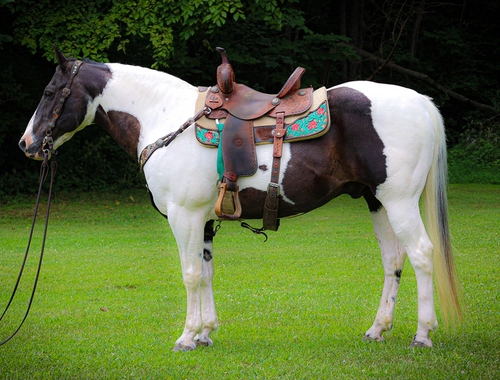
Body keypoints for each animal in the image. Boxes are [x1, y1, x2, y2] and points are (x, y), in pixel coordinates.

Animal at [19, 49, 464, 352]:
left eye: (50, 91)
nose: (26, 144)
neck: (163, 118)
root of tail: (420, 101)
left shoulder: (184, 217)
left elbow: (190, 274)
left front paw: (187, 336)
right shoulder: (203, 221)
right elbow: (206, 273)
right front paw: (206, 333)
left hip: (399, 201)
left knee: (422, 254)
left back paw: (423, 334)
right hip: (377, 202)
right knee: (393, 261)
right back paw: (378, 328)